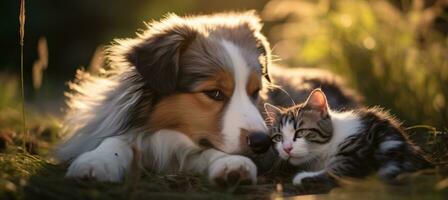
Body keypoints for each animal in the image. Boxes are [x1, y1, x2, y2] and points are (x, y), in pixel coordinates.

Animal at [264, 88, 428, 188]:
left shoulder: (358, 153)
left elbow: (339, 171)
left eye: (301, 132)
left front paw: (302, 177)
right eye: (278, 137)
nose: (286, 148)